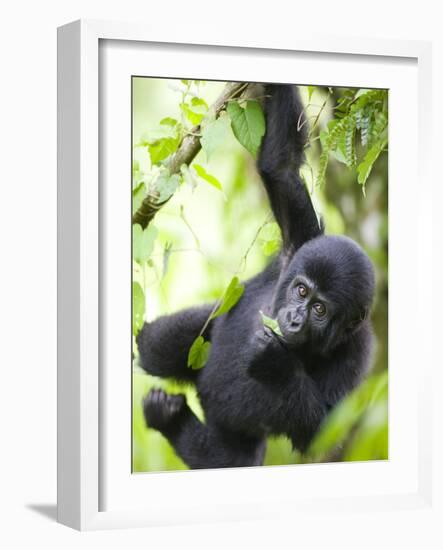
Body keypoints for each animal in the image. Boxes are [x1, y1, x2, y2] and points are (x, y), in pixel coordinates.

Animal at [137, 84, 376, 472]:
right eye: (300, 290)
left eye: (320, 310)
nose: (293, 319)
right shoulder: (300, 242)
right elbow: (280, 167)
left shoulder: (356, 353)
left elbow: (321, 433)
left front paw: (276, 362)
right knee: (155, 347)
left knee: (229, 458)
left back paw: (170, 418)